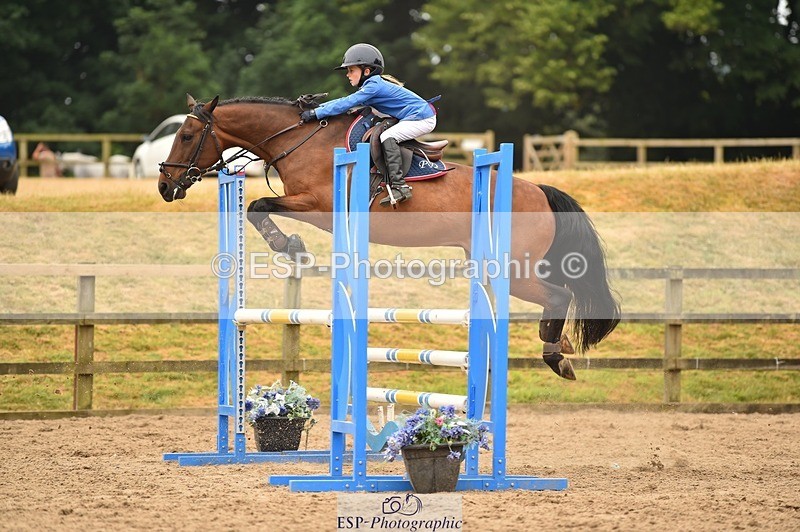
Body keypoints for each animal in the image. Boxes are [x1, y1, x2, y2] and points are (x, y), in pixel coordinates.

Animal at [158, 93, 621, 380]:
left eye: (186, 135)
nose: (165, 186)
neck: (300, 140)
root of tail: (539, 190)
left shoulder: (317, 205)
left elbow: (258, 206)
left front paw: (290, 246)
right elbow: (258, 206)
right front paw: (292, 246)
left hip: (512, 267)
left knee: (560, 294)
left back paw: (556, 356)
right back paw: (558, 345)